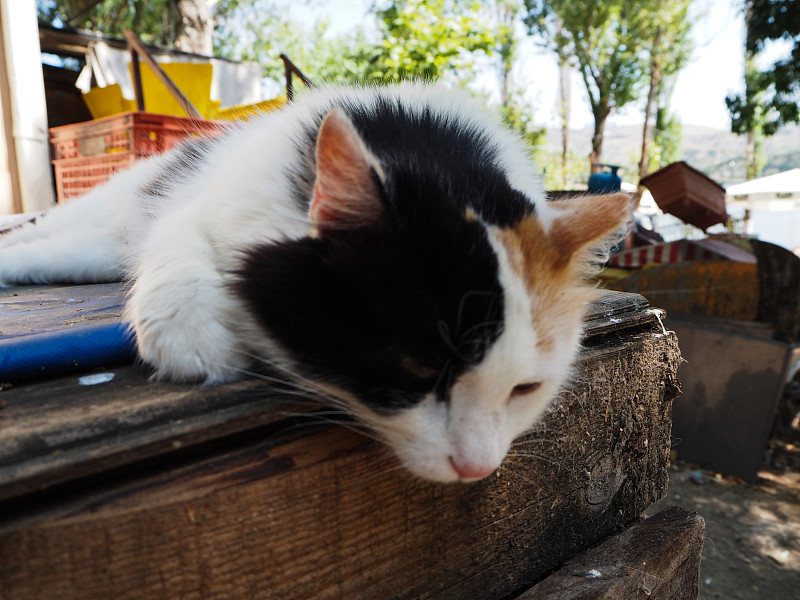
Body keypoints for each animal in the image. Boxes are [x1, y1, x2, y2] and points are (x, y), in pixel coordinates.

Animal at [0, 83, 632, 482]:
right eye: (417, 368)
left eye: (526, 389)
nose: (478, 467)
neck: (433, 155)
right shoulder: (212, 205)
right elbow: (179, 240)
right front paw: (190, 330)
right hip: (111, 213)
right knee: (52, 236)